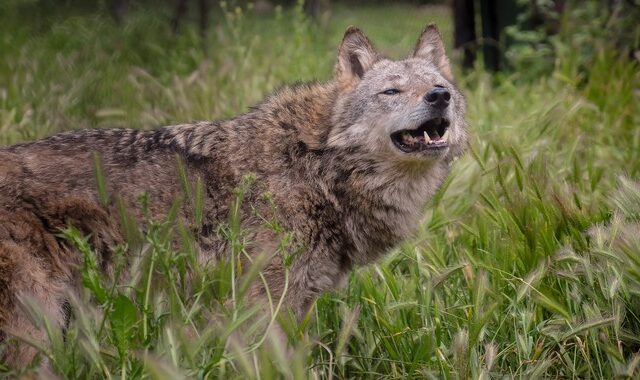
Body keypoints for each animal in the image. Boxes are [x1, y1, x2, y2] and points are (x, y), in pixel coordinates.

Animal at [0, 24, 470, 368]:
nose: (440, 96)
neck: (316, 164)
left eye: (435, 84)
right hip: (35, 331)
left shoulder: (296, 304)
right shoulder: (263, 302)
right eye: (392, 91)